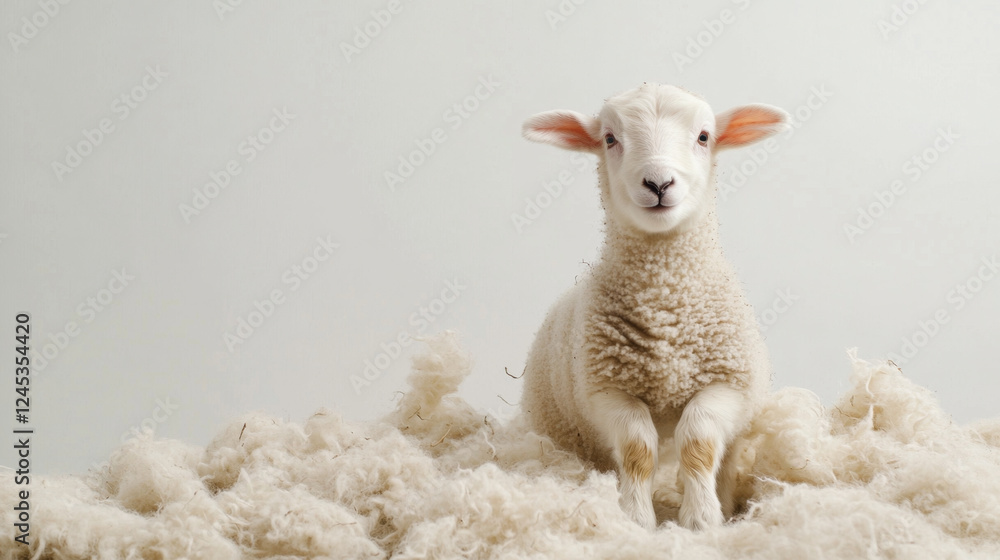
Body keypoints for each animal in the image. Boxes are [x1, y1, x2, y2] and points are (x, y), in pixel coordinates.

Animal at [519, 83, 788, 530]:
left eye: (703, 136)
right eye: (610, 138)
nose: (658, 183)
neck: (665, 303)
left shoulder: (727, 384)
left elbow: (697, 441)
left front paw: (701, 519)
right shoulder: (606, 390)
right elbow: (636, 448)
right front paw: (636, 518)